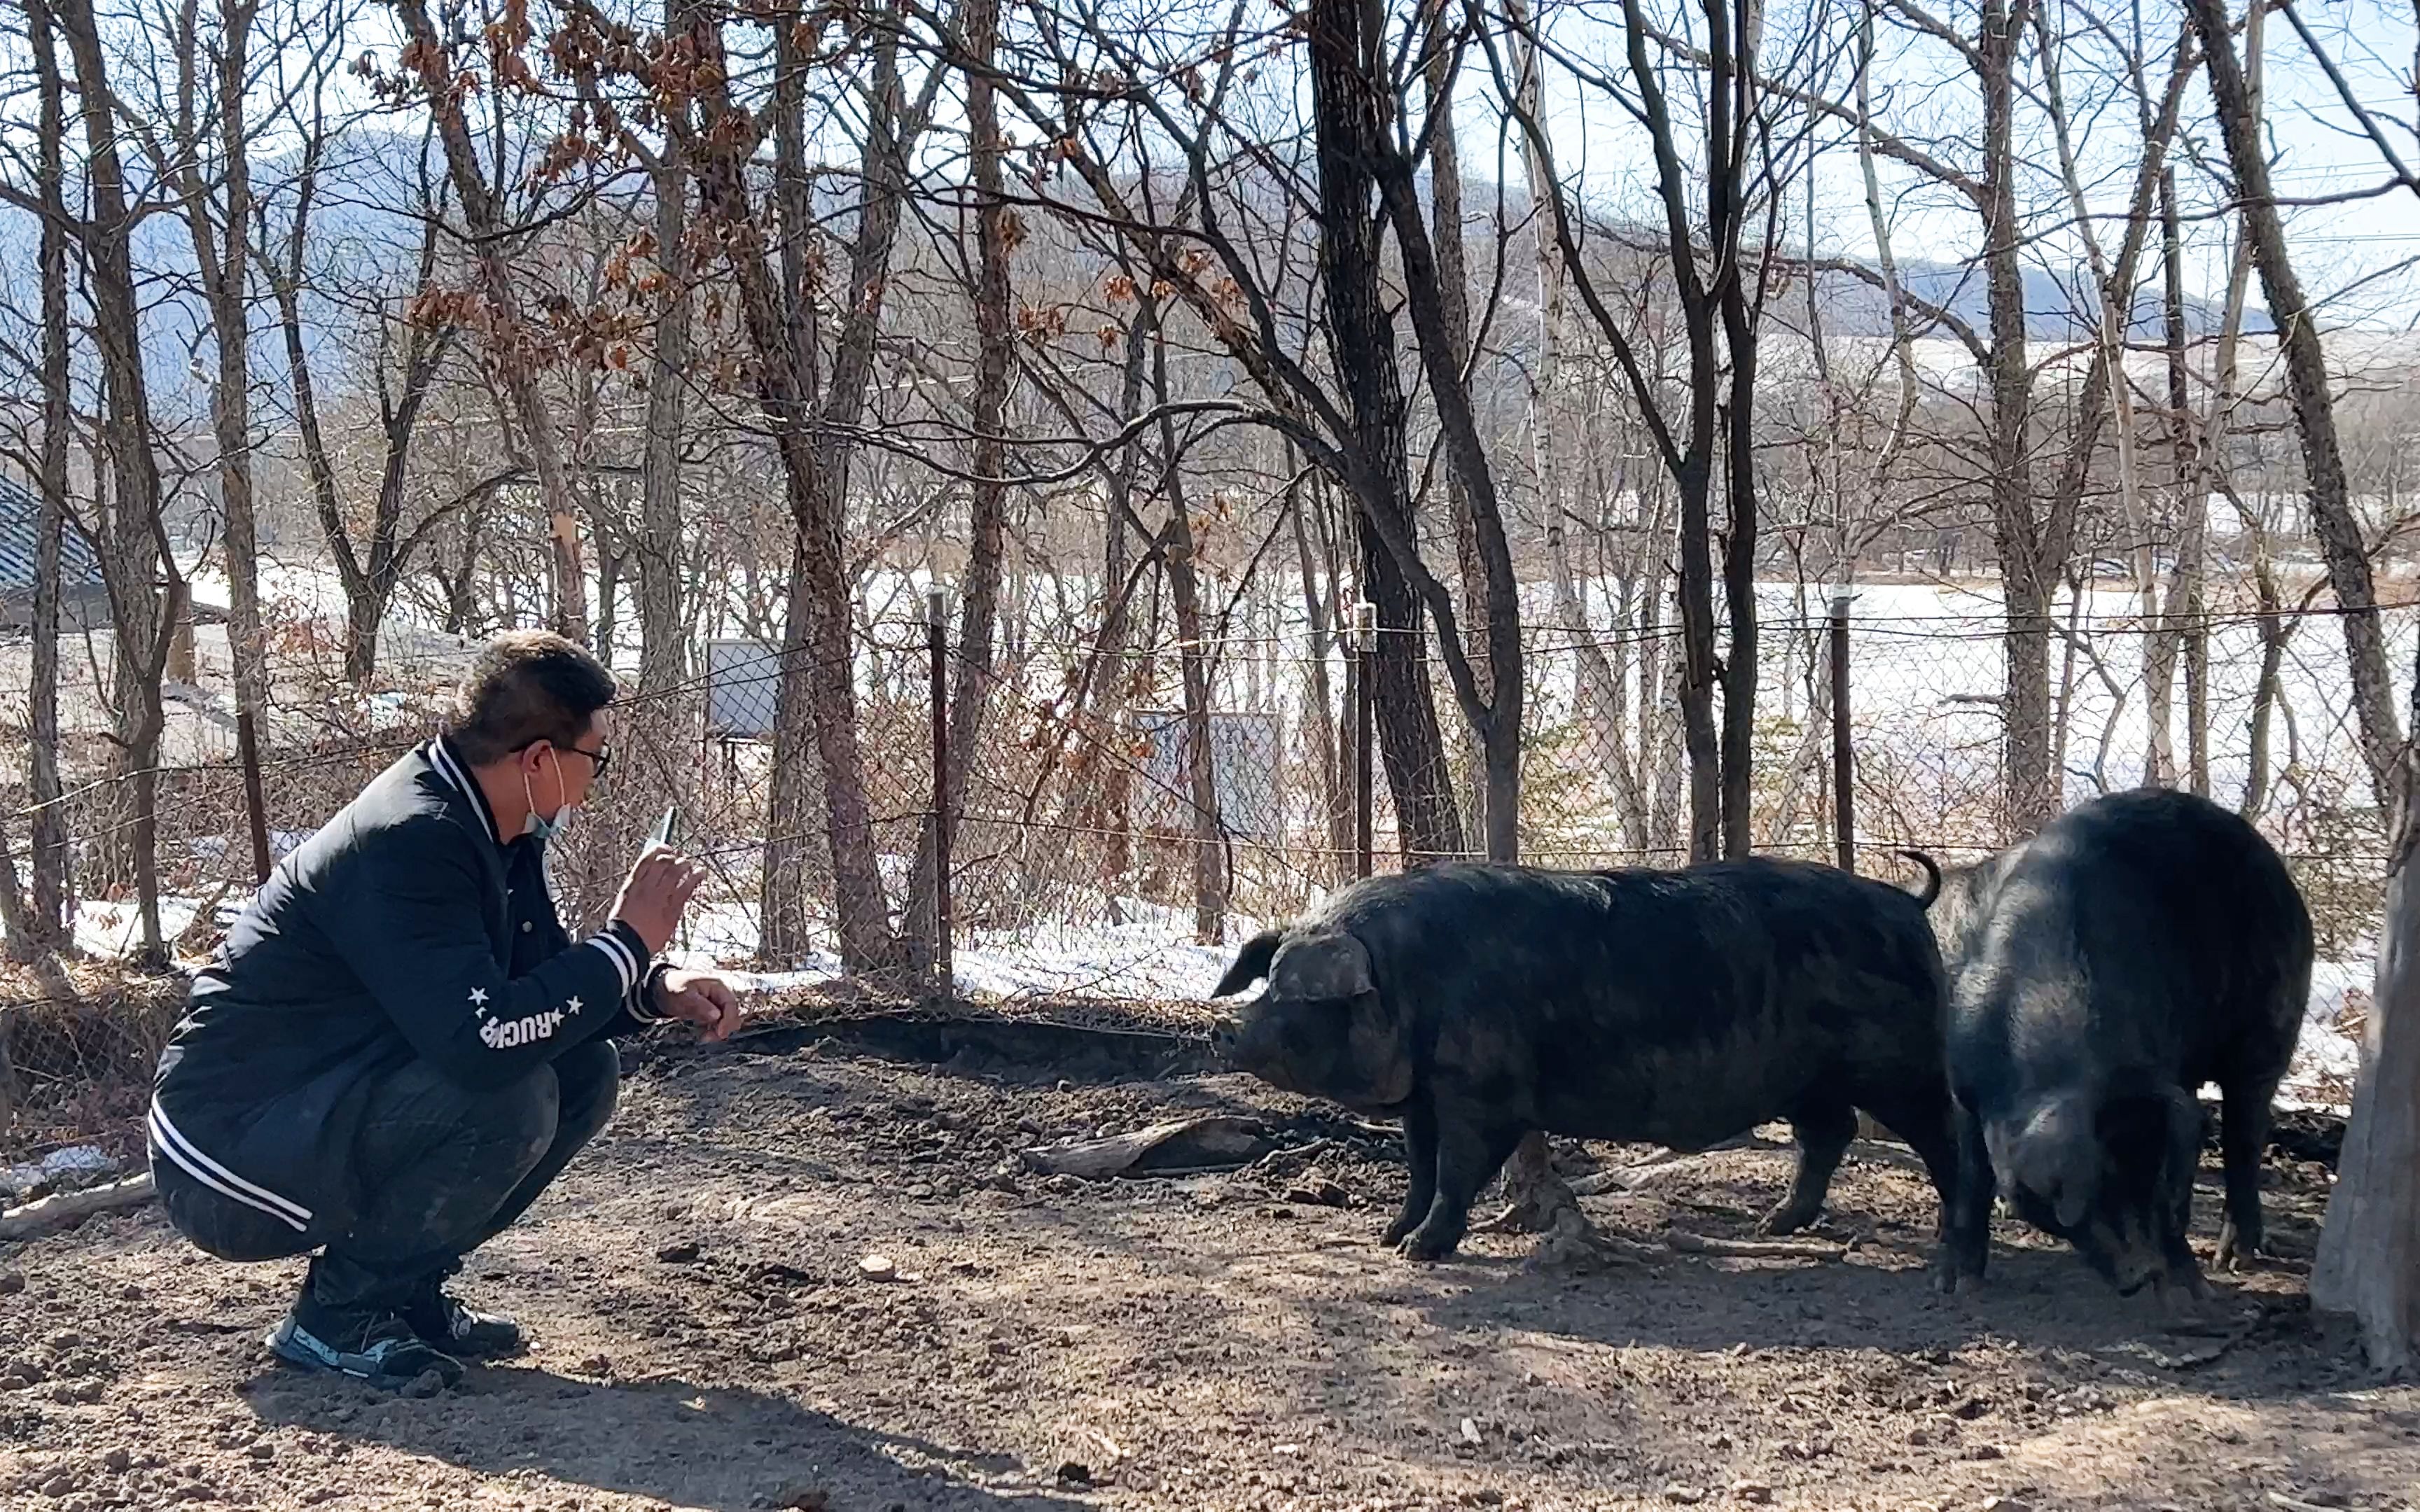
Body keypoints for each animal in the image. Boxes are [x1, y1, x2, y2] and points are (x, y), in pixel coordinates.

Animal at [1200, 856, 1955, 1258]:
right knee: (1830, 1133)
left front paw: (1420, 1251)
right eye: (1269, 981)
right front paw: (1390, 1236)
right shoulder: (1425, 1097)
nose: (1224, 1030)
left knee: (1941, 1138)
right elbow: (1419, 1166)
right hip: (1811, 1080)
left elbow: (1456, 1169)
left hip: (1902, 1066)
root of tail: (1907, 904)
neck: (1410, 978)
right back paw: (1772, 1225)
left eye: (1300, 996)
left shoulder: (1483, 1092)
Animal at [1935, 778, 2313, 1296]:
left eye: (2155, 1184)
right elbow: (1972, 1175)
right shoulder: (1963, 1081)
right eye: (2101, 1185)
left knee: (2246, 1135)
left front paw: (2192, 1289)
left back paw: (2235, 1259)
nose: (2144, 1271)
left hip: (2271, 1023)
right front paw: (1957, 1285)